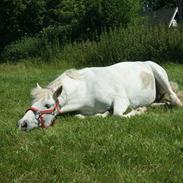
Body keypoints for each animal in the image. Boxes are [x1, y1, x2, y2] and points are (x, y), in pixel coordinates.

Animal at [17, 62, 182, 131]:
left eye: (47, 105)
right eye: (32, 102)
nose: (22, 124)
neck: (85, 89)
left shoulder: (122, 100)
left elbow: (117, 115)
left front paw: (138, 111)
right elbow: (81, 116)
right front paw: (103, 114)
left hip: (159, 73)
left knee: (174, 99)